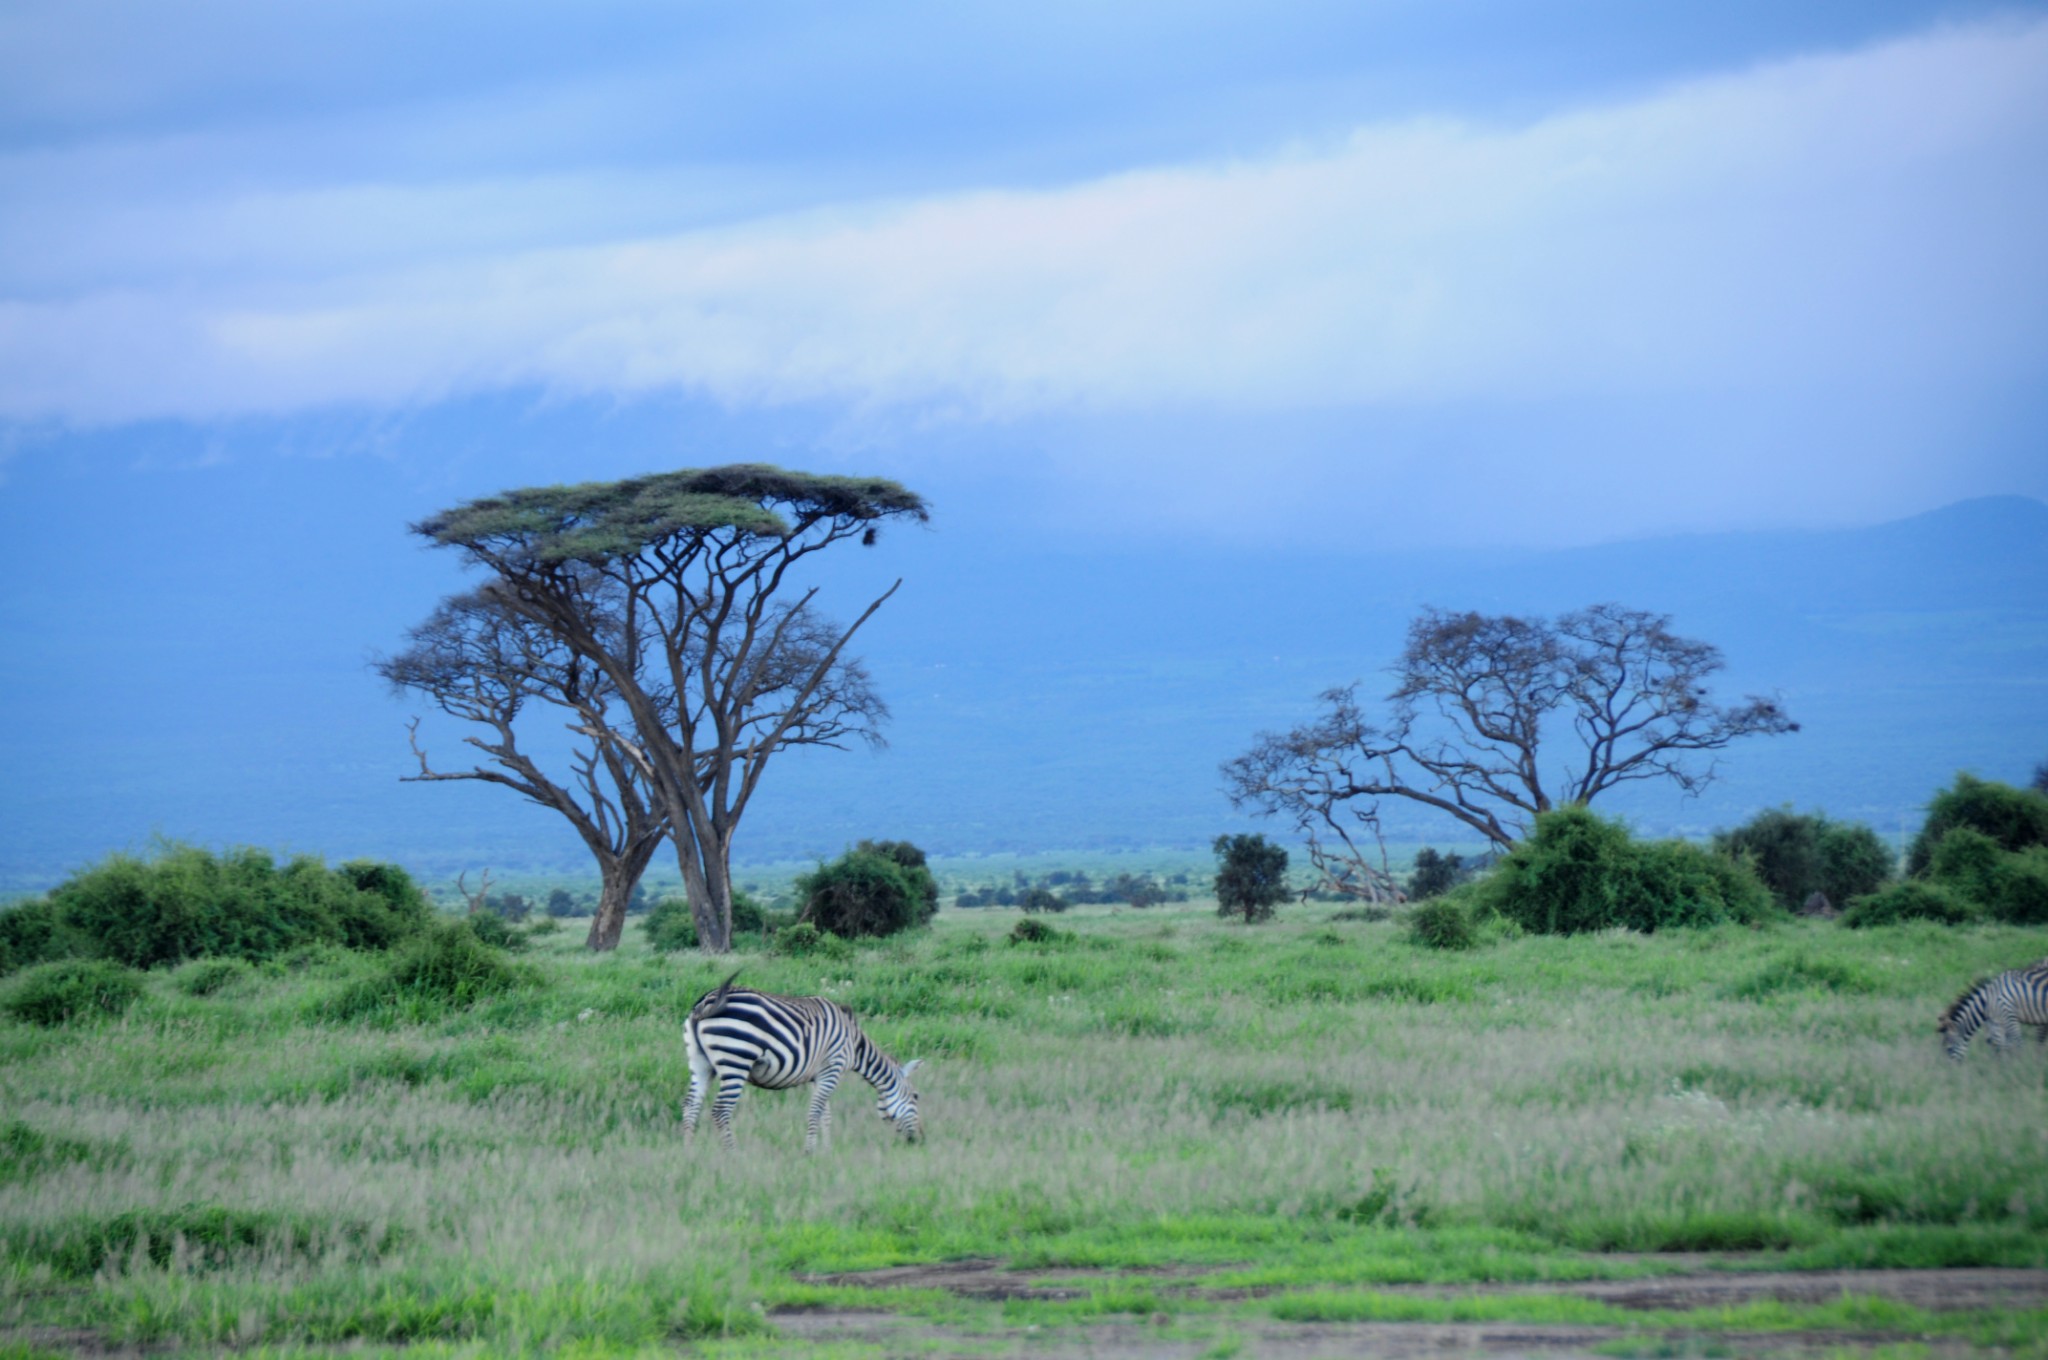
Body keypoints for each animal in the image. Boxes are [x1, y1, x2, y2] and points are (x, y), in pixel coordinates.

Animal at [684, 970, 925, 1155]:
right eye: (916, 1097)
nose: (919, 1139)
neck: (855, 1045)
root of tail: (706, 1002)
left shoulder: (820, 1075)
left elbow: (825, 1114)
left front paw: (826, 1150)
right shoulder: (832, 1068)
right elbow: (815, 1111)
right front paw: (810, 1152)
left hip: (700, 1064)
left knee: (690, 1105)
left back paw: (690, 1153)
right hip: (736, 1059)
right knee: (720, 1111)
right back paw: (733, 1156)